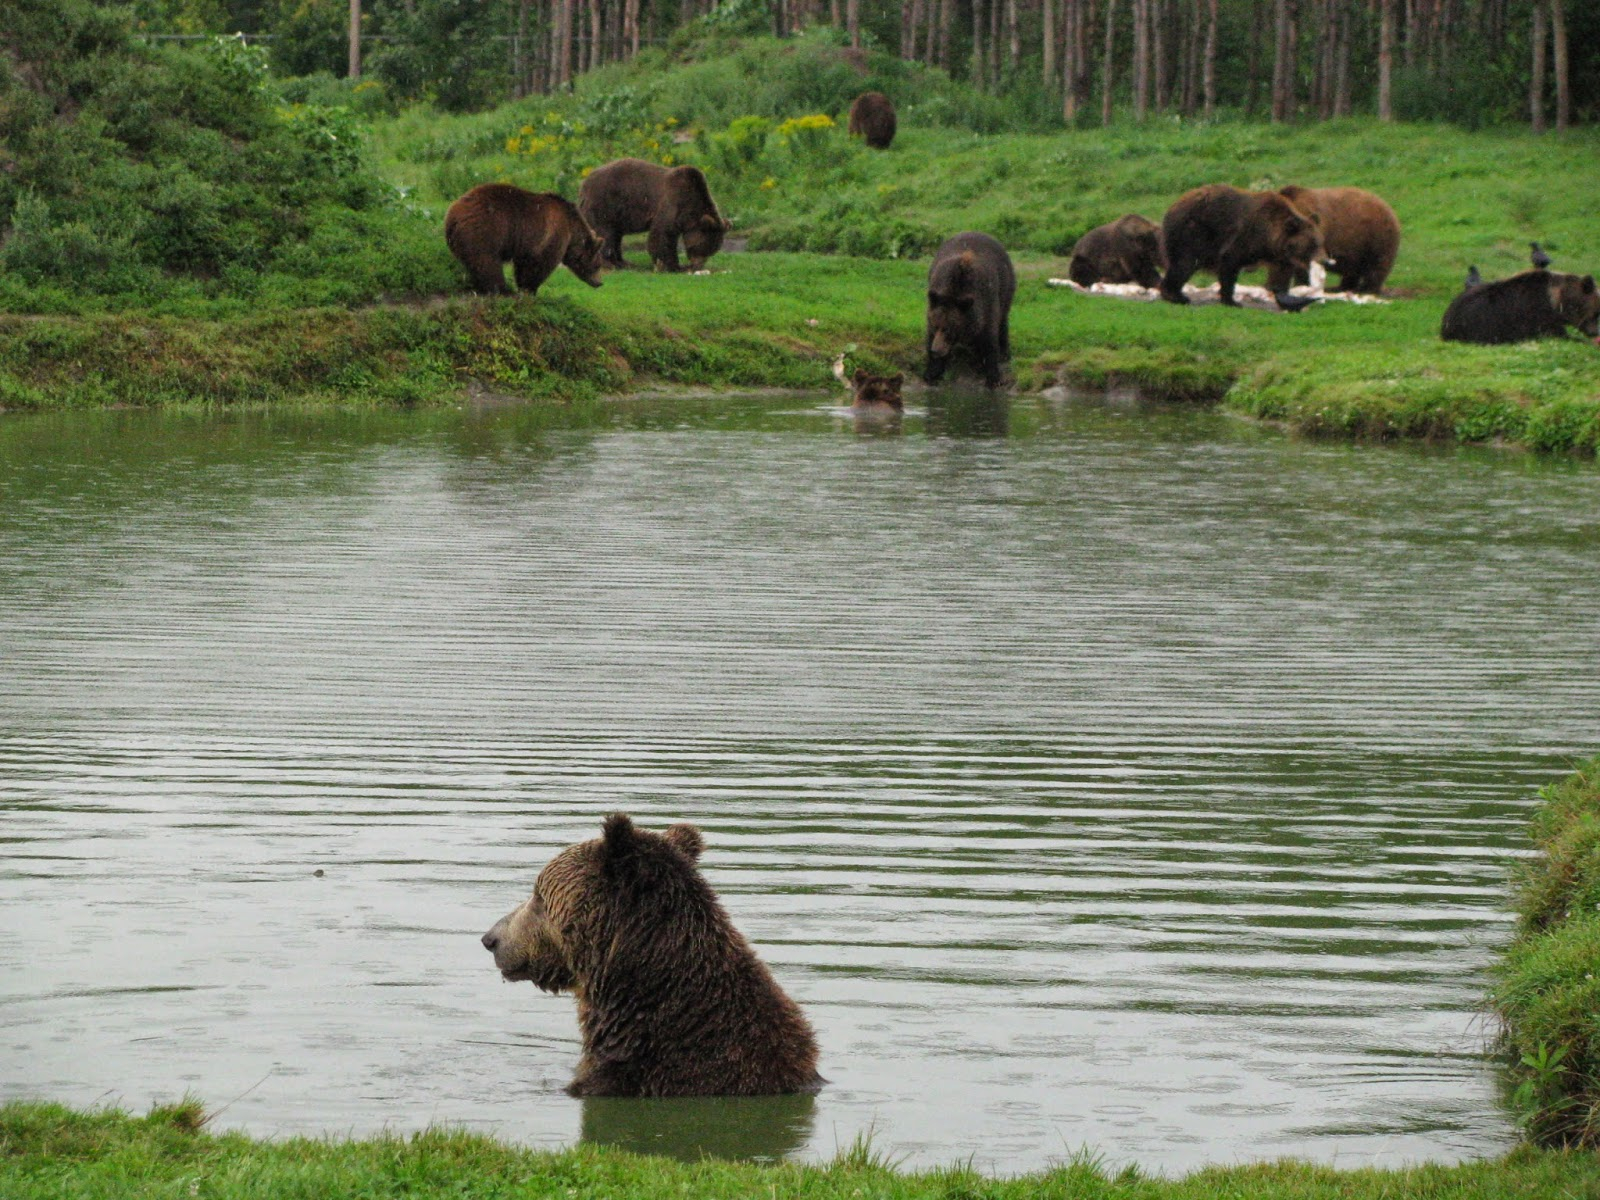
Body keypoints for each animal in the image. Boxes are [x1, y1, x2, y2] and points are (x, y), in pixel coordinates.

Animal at [444, 184, 604, 297]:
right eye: (597, 265)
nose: (599, 283)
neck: (572, 228)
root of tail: (453, 214)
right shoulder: (553, 235)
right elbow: (541, 265)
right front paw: (530, 289)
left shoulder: (526, 246)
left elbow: (523, 265)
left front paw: (523, 287)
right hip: (487, 229)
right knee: (487, 261)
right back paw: (501, 289)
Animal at [577, 158, 730, 273]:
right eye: (702, 246)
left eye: (713, 250)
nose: (696, 266)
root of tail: (584, 183)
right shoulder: (671, 204)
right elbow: (662, 235)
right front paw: (671, 266)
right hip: (605, 204)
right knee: (605, 233)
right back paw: (609, 264)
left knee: (615, 235)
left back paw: (624, 263)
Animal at [924, 232, 1017, 389]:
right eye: (936, 326)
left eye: (948, 329)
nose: (935, 350)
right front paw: (932, 372)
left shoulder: (986, 302)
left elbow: (989, 341)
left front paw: (994, 378)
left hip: (1006, 284)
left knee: (1003, 318)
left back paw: (1004, 353)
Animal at [1158, 184, 1329, 310]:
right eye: (1311, 245)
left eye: (1320, 242)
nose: (1325, 260)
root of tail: (1173, 207)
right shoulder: (1243, 237)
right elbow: (1229, 265)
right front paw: (1232, 301)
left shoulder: (1280, 256)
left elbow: (1280, 276)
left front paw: (1287, 298)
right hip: (1193, 232)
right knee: (1185, 264)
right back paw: (1177, 296)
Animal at [1269, 185, 1401, 295]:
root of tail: (1389, 209)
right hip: (1358, 248)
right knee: (1353, 270)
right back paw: (1343, 287)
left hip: (1375, 238)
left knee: (1376, 267)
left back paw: (1366, 289)